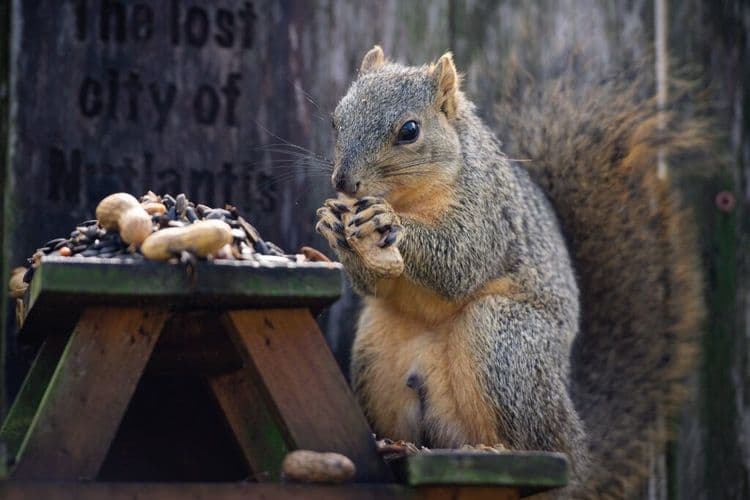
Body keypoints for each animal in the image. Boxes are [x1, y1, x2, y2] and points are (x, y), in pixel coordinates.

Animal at [315, 45, 704, 498]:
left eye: (410, 130)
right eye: (336, 119)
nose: (344, 182)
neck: (409, 196)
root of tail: (580, 461)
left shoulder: (490, 213)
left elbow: (459, 259)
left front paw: (388, 221)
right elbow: (373, 283)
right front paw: (334, 224)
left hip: (503, 341)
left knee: (542, 444)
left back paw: (504, 452)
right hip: (376, 351)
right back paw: (400, 448)